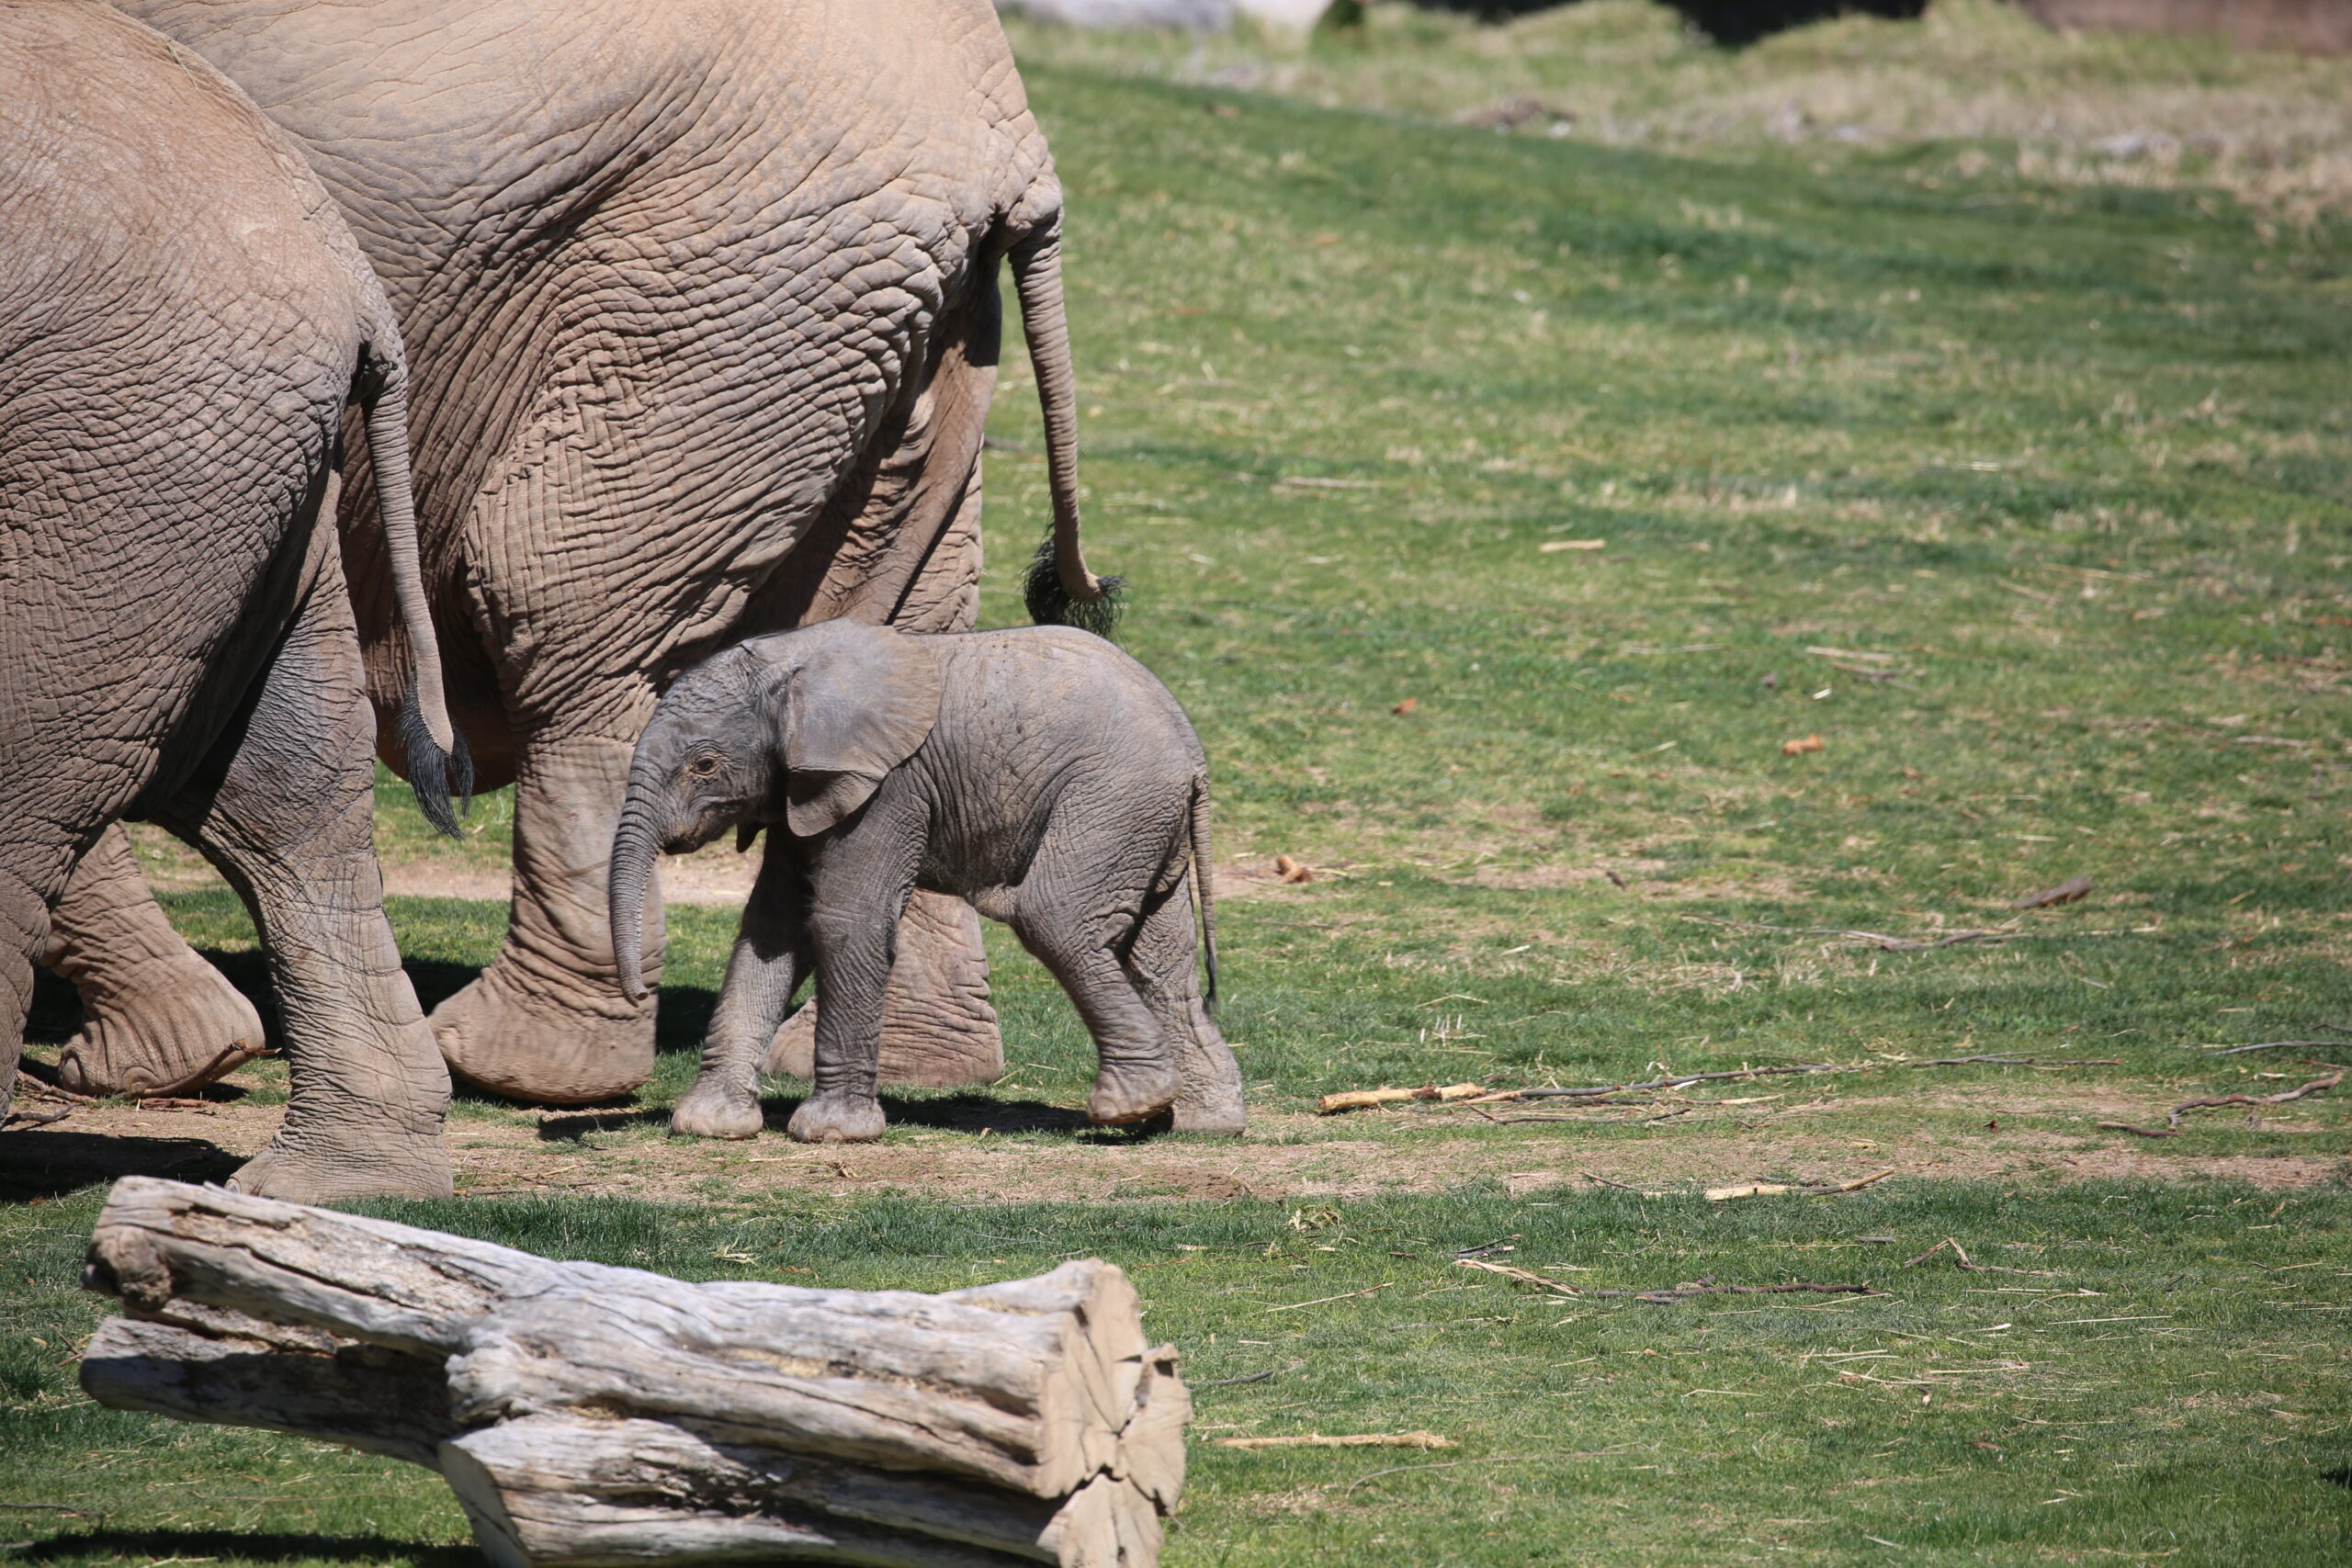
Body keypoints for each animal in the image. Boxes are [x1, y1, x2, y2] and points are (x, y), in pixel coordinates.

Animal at [57, 0, 1110, 1109]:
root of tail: (1011, 143)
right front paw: (170, 1050)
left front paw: (153, 1058)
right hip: (883, 329)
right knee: (902, 640)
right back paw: (907, 1062)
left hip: (718, 284)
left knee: (553, 600)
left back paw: (517, 1066)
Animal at [611, 620, 1250, 1146]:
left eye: (704, 766)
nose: (640, 996)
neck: (791, 662)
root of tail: (1192, 751)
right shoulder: (805, 787)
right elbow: (772, 929)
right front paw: (710, 1125)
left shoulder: (887, 785)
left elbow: (846, 920)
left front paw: (833, 1133)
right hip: (1145, 817)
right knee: (1160, 958)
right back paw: (1202, 1122)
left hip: (1112, 798)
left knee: (1057, 920)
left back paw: (1130, 1107)